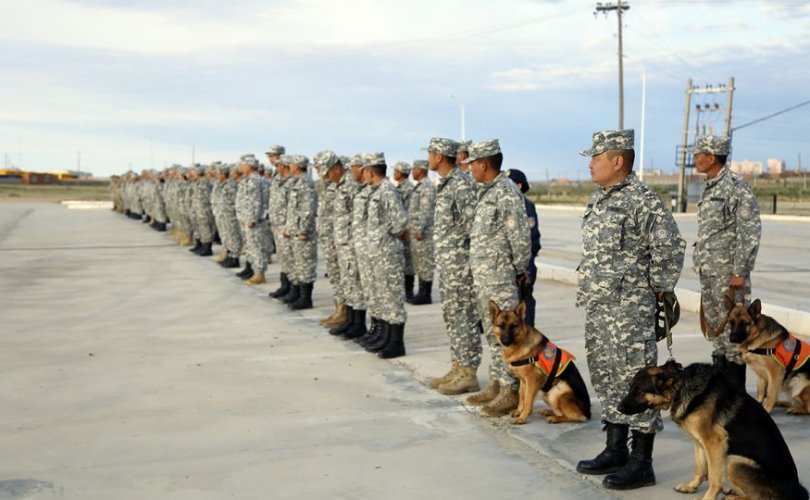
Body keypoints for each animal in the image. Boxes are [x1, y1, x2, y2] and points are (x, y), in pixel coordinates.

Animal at [620, 362, 800, 498]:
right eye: (630, 388)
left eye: (639, 390)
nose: (618, 408)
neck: (681, 387)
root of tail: (797, 491)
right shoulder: (700, 441)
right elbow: (699, 467)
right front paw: (691, 486)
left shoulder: (714, 442)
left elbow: (714, 478)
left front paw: (708, 496)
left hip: (733, 461)